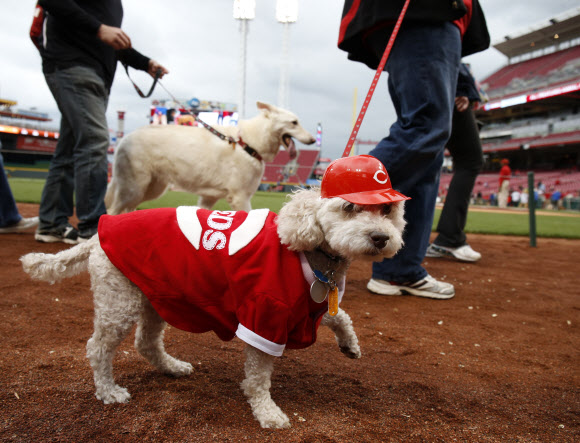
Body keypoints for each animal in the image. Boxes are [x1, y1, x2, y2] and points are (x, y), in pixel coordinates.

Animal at [103, 101, 312, 215]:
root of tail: (125, 138)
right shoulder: (240, 197)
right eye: (294, 123)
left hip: (151, 189)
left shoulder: (208, 198)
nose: (311, 140)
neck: (247, 143)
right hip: (134, 189)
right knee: (111, 212)